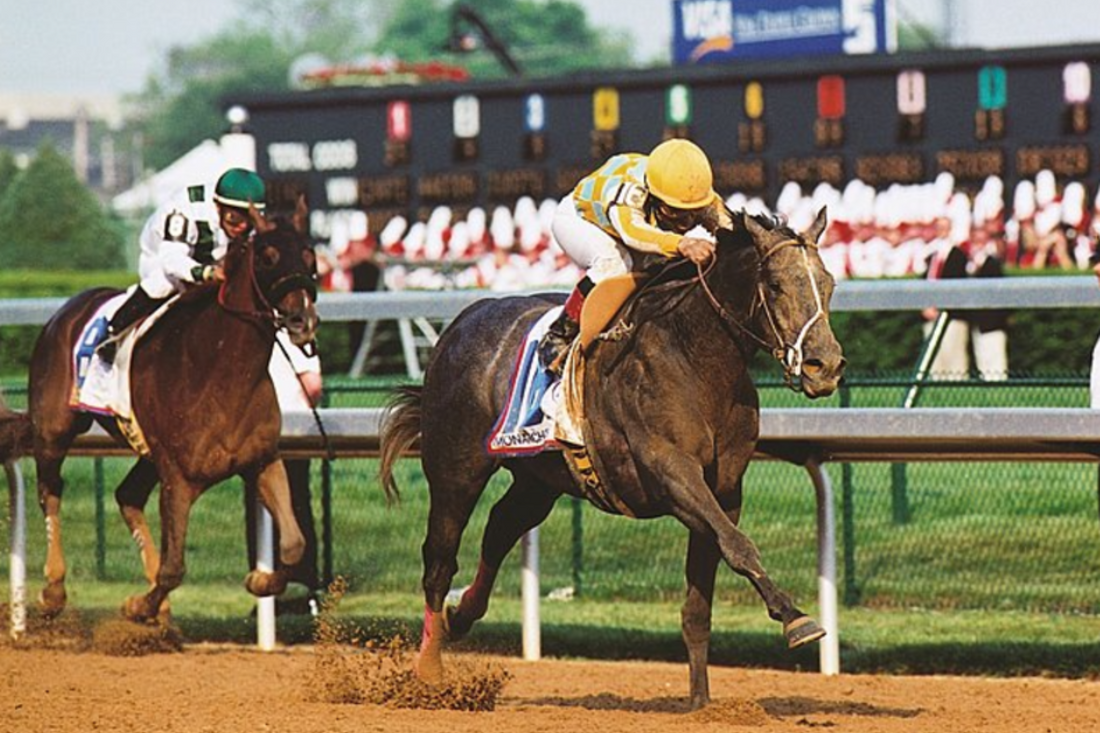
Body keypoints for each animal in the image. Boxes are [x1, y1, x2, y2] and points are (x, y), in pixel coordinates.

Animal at [0, 203, 319, 616]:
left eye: (310, 256)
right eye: (268, 257)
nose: (302, 320)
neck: (219, 370)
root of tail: (65, 311)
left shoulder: (261, 460)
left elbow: (294, 545)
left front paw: (260, 580)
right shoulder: (177, 477)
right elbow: (174, 568)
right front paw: (140, 605)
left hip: (146, 452)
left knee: (127, 495)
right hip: (54, 429)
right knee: (50, 489)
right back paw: (54, 589)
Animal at [382, 206, 844, 708]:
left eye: (830, 282)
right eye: (776, 285)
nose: (825, 365)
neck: (695, 355)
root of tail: (461, 320)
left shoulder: (724, 490)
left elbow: (703, 594)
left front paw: (701, 703)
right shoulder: (670, 472)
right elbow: (739, 547)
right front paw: (796, 618)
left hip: (538, 479)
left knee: (501, 528)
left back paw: (461, 614)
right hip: (455, 470)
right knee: (439, 562)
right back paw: (429, 670)